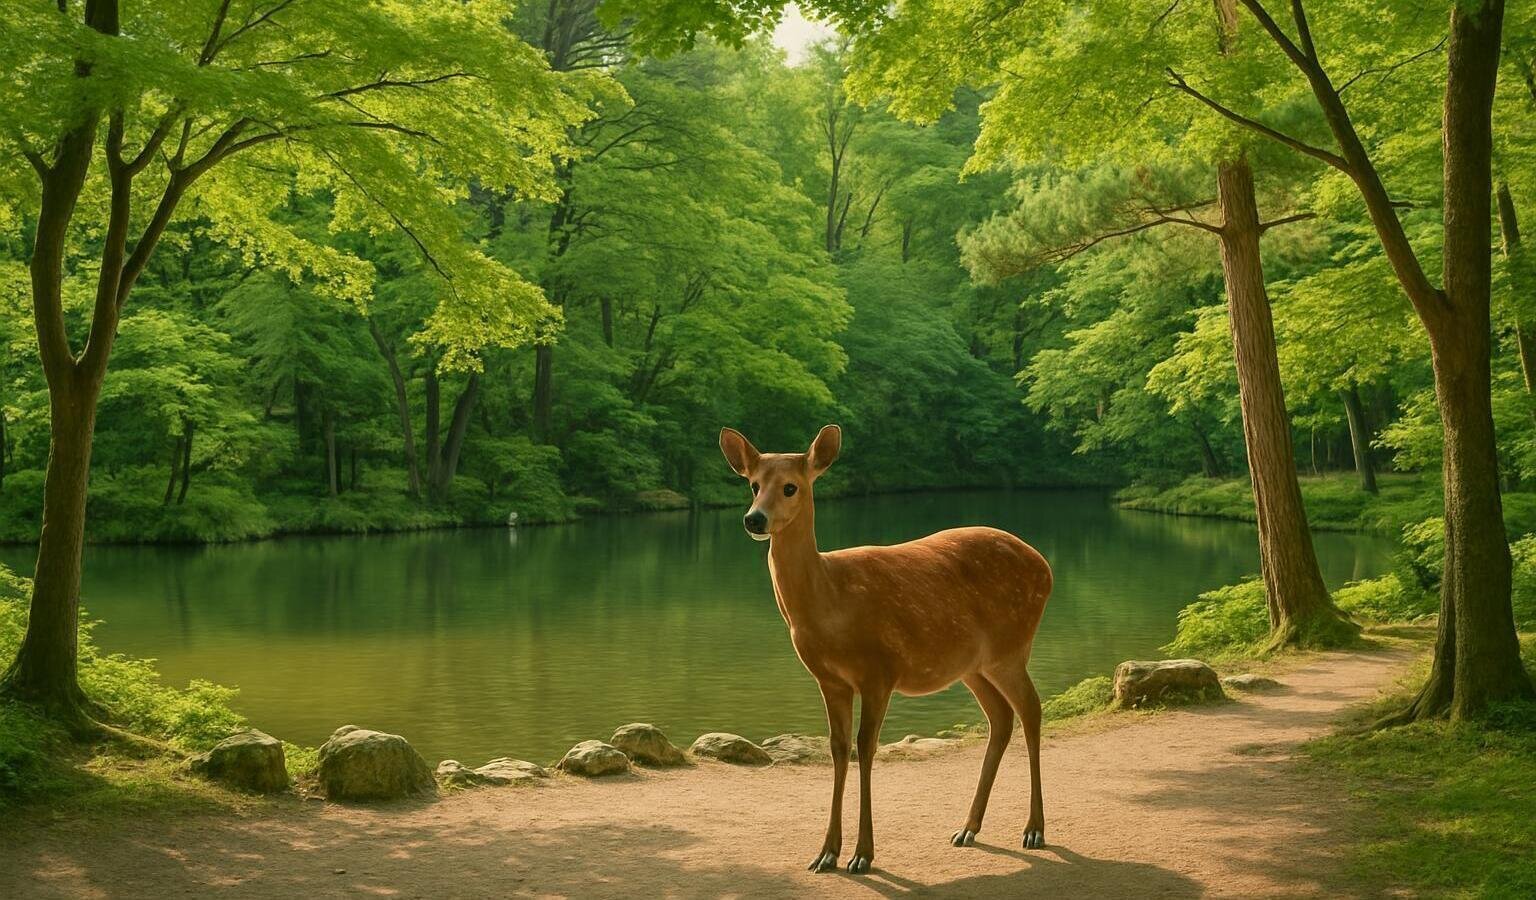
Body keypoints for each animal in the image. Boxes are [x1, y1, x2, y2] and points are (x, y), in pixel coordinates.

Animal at [719, 424, 1053, 875]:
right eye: (753, 484)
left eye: (791, 486)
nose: (754, 518)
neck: (831, 602)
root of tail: (1046, 567)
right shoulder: (830, 680)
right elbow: (838, 748)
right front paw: (826, 853)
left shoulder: (879, 670)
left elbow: (865, 747)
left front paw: (862, 854)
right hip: (973, 665)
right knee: (1001, 718)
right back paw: (968, 828)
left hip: (1011, 645)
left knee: (1031, 709)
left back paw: (1034, 830)